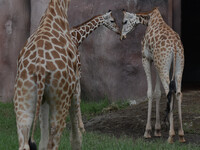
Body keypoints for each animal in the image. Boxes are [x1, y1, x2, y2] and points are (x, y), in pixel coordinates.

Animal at [13, 0, 82, 150]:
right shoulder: (75, 83)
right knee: (54, 136)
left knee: (24, 138)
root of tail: (39, 67)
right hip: (60, 99)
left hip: (23, 98)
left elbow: (42, 128)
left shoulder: (43, 97)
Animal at [120, 7, 184, 143]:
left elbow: (149, 92)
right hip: (177, 66)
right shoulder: (156, 62)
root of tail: (175, 46)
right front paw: (158, 130)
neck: (149, 19)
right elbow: (157, 93)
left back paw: (171, 136)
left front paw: (148, 131)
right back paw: (181, 135)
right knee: (178, 93)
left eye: (125, 21)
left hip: (163, 65)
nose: (122, 37)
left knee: (169, 91)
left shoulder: (146, 58)